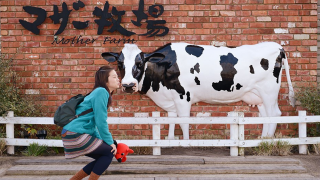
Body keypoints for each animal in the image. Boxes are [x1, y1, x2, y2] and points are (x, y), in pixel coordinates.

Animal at [102, 42, 296, 139]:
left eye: (140, 62)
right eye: (120, 63)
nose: (128, 85)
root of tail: (277, 46)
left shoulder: (183, 97)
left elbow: (184, 124)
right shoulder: (171, 100)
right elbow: (171, 122)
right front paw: (171, 142)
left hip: (269, 91)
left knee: (275, 114)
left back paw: (268, 141)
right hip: (257, 95)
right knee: (265, 116)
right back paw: (262, 139)